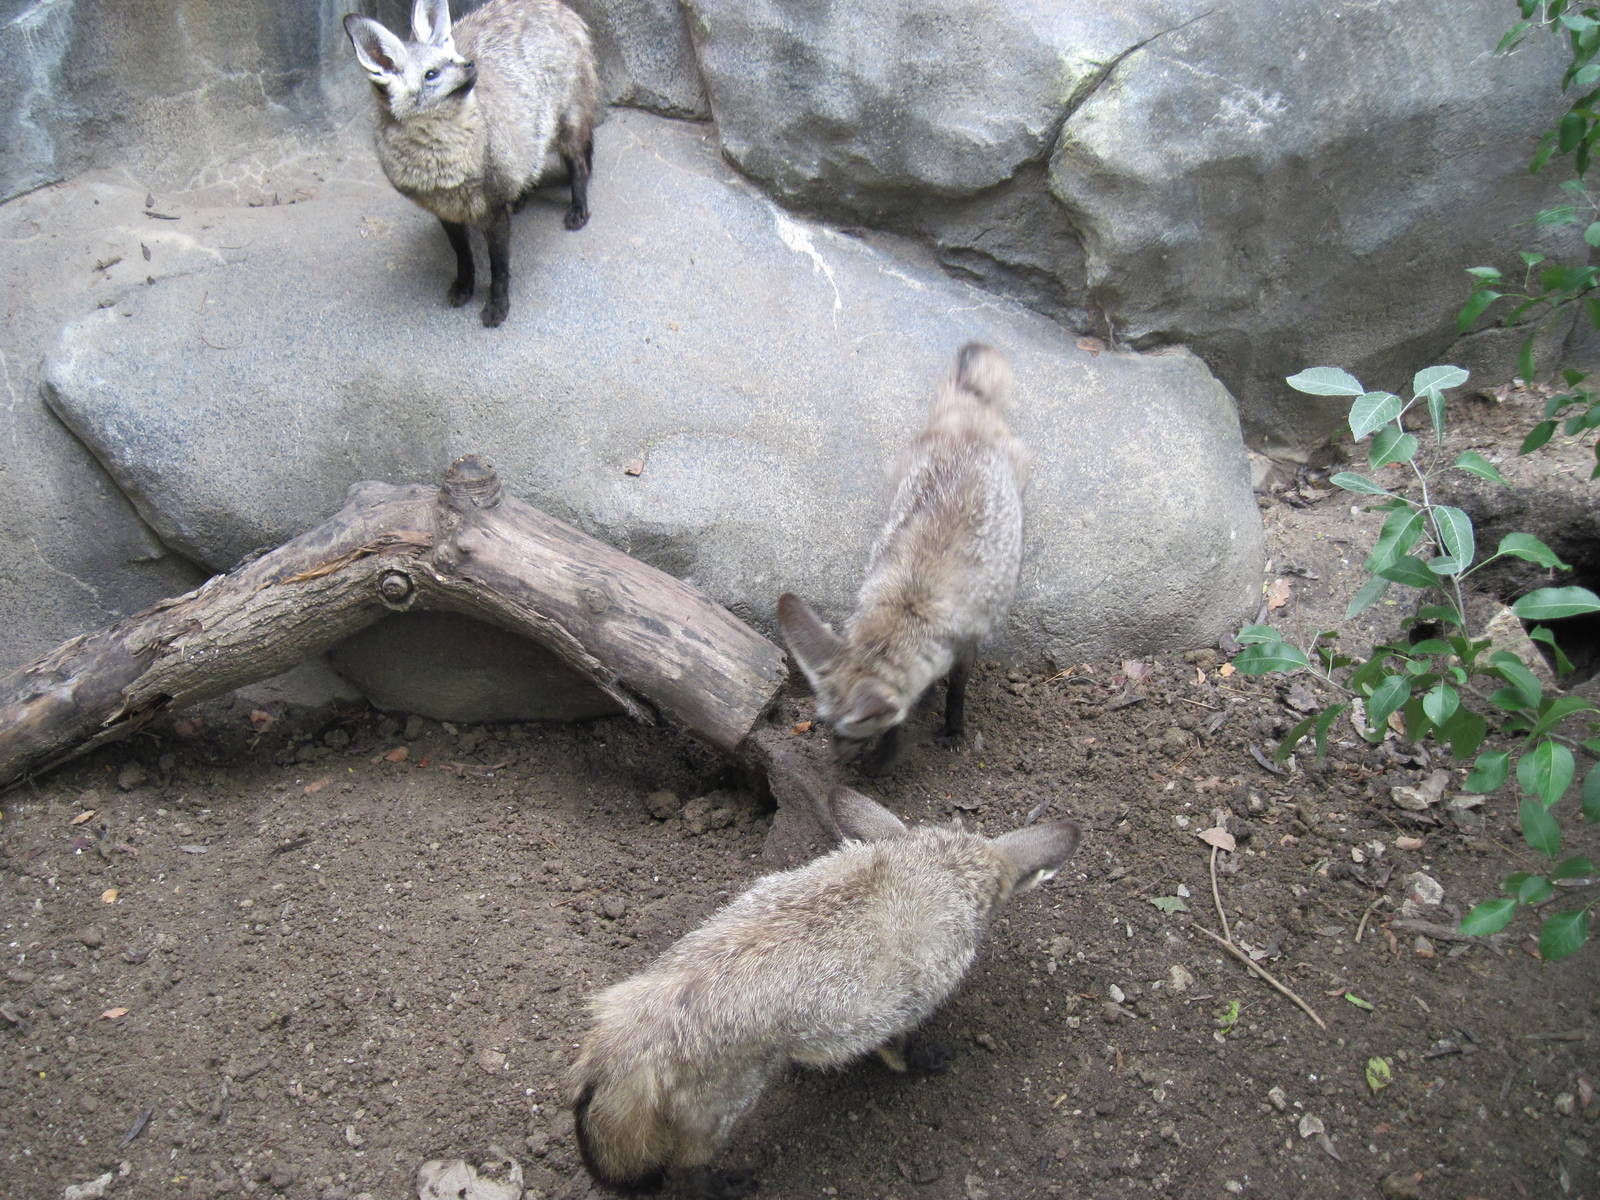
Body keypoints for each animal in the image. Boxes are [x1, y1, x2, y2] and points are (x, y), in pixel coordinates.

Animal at [343, 0, 599, 327]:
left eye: (454, 58)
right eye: (431, 74)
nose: (469, 64)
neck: (445, 169)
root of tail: (562, 8)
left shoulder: (493, 211)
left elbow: (499, 268)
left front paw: (497, 305)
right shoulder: (446, 212)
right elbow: (463, 256)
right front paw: (465, 286)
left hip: (566, 126)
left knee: (580, 166)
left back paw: (578, 209)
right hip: (532, 135)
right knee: (536, 164)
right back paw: (522, 197)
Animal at [567, 785, 1081, 1197]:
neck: (930, 872)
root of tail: (632, 1029)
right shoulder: (904, 1006)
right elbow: (900, 1053)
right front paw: (924, 1061)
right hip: (722, 1113)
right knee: (684, 1174)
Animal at [778, 343, 1030, 774]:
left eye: (852, 734)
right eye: (825, 724)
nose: (835, 761)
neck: (908, 604)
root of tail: (967, 415)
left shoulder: (968, 642)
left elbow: (957, 690)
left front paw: (951, 729)